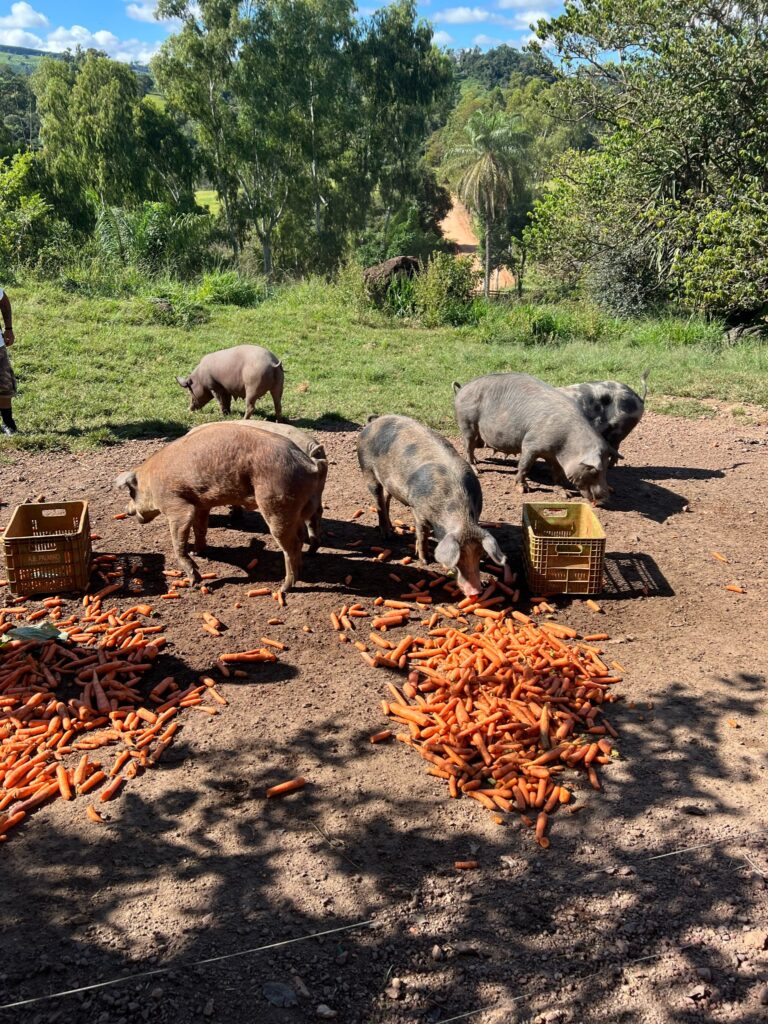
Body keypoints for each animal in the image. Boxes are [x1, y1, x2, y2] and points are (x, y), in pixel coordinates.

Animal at [356, 411, 512, 598]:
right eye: (458, 558)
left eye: (480, 553)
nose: (475, 591)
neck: (460, 516)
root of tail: (374, 421)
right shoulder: (418, 510)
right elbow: (422, 534)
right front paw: (425, 561)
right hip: (367, 470)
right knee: (378, 500)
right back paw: (387, 535)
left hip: (388, 482)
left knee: (386, 498)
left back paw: (392, 529)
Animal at [454, 374, 618, 505]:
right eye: (594, 471)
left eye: (605, 470)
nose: (606, 500)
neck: (567, 445)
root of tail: (462, 389)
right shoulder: (530, 445)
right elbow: (524, 466)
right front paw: (523, 489)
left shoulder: (553, 456)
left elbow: (557, 472)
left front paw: (565, 493)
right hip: (466, 423)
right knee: (468, 447)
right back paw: (477, 469)